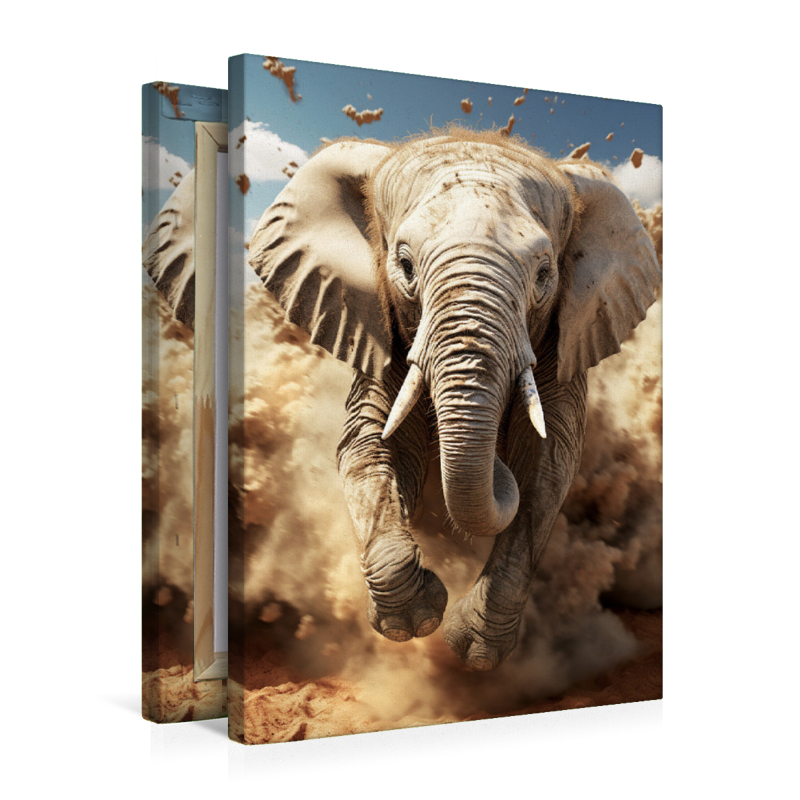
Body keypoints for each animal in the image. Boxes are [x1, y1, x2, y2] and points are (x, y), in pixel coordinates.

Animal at [247, 128, 661, 671]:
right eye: (404, 265)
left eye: (545, 274)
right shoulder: (380, 323)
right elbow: (369, 445)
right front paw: (415, 621)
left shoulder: (568, 329)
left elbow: (547, 464)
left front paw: (477, 654)